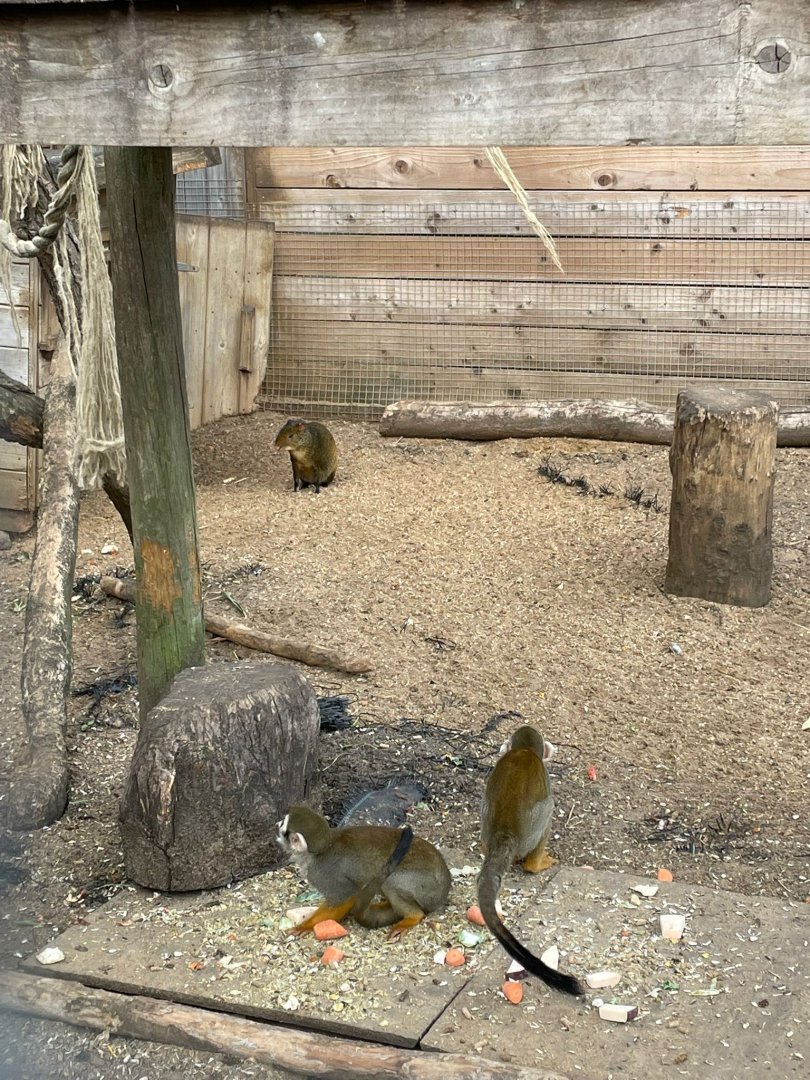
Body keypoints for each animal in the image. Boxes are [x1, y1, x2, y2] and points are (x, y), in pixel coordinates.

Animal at [277, 805, 452, 940]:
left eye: (283, 826)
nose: (277, 823)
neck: (318, 852)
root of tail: (445, 887)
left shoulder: (321, 873)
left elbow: (345, 896)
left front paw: (306, 926)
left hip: (427, 889)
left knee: (391, 883)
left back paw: (412, 917)